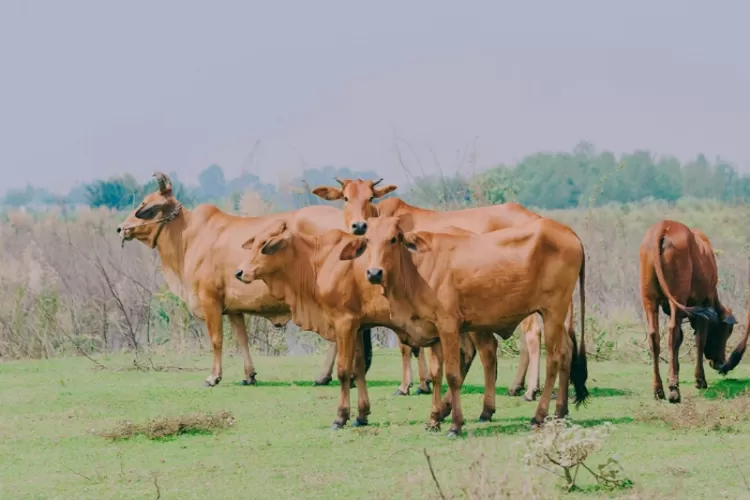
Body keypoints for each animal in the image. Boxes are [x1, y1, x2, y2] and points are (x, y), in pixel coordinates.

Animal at [117, 172, 376, 386]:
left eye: (145, 206)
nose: (121, 228)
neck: (189, 237)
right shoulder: (233, 308)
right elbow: (242, 339)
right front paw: (249, 375)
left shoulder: (210, 300)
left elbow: (216, 339)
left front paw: (213, 377)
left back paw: (324, 376)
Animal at [235, 219, 506, 434]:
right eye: (255, 241)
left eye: (265, 245)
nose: (239, 272)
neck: (318, 261)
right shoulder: (359, 326)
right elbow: (359, 369)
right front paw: (362, 415)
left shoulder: (344, 323)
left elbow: (344, 371)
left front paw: (341, 417)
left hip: (473, 323)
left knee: (485, 354)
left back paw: (481, 410)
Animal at [312, 178, 576, 400]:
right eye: (346, 197)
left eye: (369, 197)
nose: (359, 225)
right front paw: (423, 383)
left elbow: (407, 346)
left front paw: (407, 385)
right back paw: (523, 387)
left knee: (533, 336)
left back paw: (531, 390)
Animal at [342, 216, 592, 434]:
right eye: (368, 240)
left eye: (394, 239)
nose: (374, 273)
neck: (416, 269)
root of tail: (569, 233)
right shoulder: (434, 332)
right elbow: (436, 375)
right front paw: (434, 420)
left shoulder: (449, 327)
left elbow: (452, 376)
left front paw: (455, 425)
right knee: (567, 352)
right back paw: (560, 411)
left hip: (553, 313)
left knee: (554, 359)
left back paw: (538, 416)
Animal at [640, 219, 748, 402]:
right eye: (727, 331)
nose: (720, 363)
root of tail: (664, 226)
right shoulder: (704, 304)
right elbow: (700, 340)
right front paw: (700, 379)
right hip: (677, 296)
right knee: (672, 333)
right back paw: (673, 390)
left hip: (649, 299)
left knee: (654, 336)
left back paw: (658, 389)